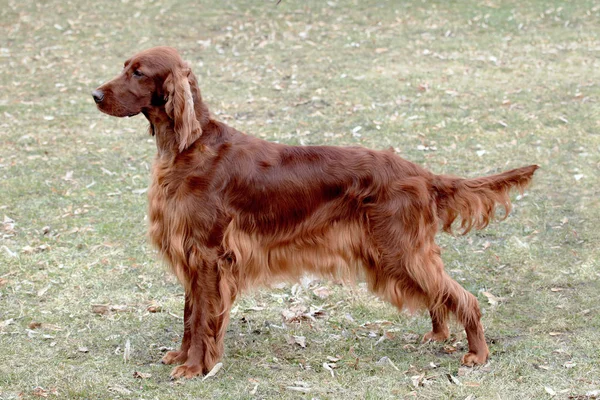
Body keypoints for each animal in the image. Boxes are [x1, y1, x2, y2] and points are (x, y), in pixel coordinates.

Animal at [94, 47, 540, 378]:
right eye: (124, 67)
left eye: (138, 72)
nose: (95, 95)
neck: (189, 146)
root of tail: (419, 172)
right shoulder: (191, 253)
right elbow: (190, 313)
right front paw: (182, 356)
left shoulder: (206, 254)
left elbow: (203, 315)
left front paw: (194, 368)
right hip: (396, 252)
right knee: (439, 294)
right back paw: (437, 334)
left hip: (400, 248)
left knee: (465, 297)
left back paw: (477, 353)